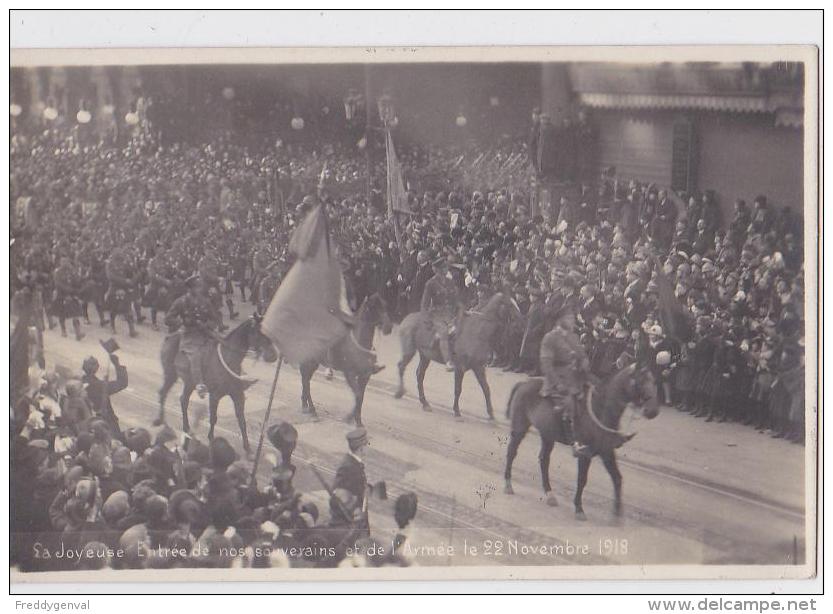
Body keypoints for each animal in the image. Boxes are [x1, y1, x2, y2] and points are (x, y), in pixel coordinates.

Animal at [158, 316, 282, 454]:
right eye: (258, 333)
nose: (273, 356)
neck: (229, 358)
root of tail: (169, 337)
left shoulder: (238, 395)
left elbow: (242, 420)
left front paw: (248, 448)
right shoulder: (215, 395)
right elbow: (213, 418)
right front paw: (212, 440)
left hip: (188, 382)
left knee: (181, 399)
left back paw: (181, 426)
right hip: (171, 375)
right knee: (166, 394)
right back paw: (164, 421)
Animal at [298, 294, 392, 428]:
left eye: (384, 305)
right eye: (373, 307)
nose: (388, 327)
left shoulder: (365, 376)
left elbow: (361, 397)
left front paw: (357, 421)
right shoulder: (350, 374)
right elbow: (358, 395)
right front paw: (349, 418)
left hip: (314, 363)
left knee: (305, 380)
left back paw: (305, 405)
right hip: (310, 361)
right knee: (306, 381)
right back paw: (312, 410)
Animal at [500, 364, 656, 524]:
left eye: (654, 381)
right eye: (640, 381)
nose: (652, 411)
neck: (600, 408)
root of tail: (524, 383)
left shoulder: (606, 452)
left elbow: (617, 478)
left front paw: (617, 514)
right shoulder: (584, 453)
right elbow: (582, 480)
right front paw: (579, 509)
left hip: (547, 435)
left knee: (544, 460)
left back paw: (550, 494)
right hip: (520, 428)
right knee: (512, 453)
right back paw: (508, 484)